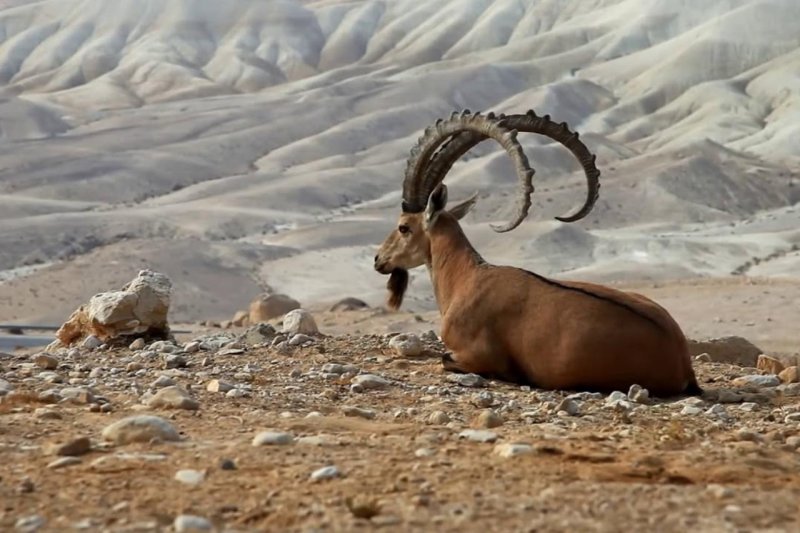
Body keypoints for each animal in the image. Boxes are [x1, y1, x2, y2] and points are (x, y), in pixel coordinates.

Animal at [374, 110, 700, 396]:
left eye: (404, 227)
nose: (379, 260)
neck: (466, 279)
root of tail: (681, 360)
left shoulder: (477, 354)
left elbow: (447, 360)